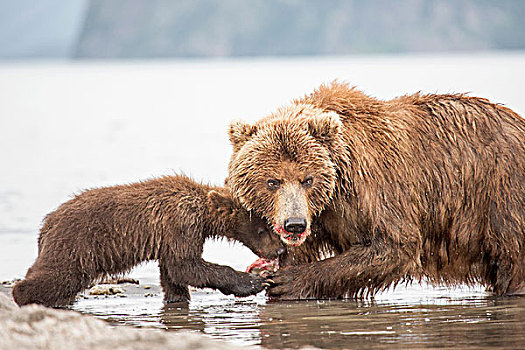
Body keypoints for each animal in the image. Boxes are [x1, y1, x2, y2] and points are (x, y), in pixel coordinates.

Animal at [227, 81, 524, 298]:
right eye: (272, 181)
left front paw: (288, 281)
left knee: (512, 259)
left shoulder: (374, 187)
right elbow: (297, 251)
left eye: (307, 179)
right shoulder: (319, 215)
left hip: (501, 193)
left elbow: (395, 244)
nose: (295, 224)